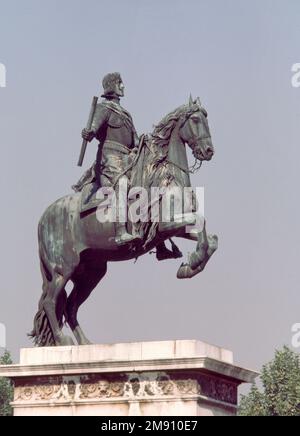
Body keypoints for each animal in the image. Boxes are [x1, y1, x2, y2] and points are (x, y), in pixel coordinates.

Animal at [30, 96, 218, 348]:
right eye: (196, 119)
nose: (208, 151)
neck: (164, 174)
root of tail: (44, 218)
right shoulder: (166, 225)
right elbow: (202, 222)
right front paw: (193, 263)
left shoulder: (173, 228)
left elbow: (211, 238)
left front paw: (190, 265)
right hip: (63, 268)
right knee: (51, 301)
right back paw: (63, 341)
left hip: (91, 272)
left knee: (70, 306)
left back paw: (86, 343)